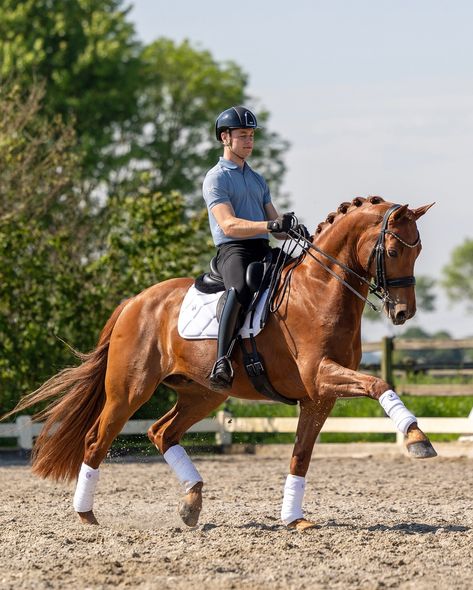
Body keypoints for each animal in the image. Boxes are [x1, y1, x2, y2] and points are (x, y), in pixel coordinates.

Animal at [5, 198, 436, 532]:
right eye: (394, 252)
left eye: (417, 252)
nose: (403, 312)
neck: (320, 289)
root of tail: (134, 301)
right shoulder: (320, 376)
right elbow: (379, 384)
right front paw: (418, 439)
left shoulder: (318, 397)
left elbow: (301, 455)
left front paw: (294, 519)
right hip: (129, 391)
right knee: (97, 439)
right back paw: (87, 515)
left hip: (203, 394)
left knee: (162, 432)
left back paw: (191, 503)